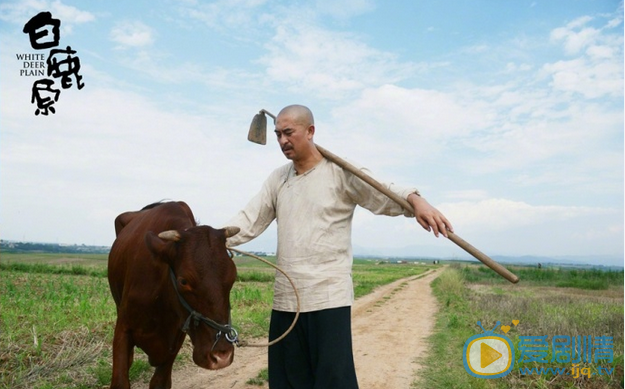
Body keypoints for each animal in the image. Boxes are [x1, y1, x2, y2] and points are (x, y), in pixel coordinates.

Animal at [107, 202, 239, 386]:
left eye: (233, 276)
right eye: (183, 281)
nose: (222, 356)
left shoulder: (174, 342)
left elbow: (160, 382)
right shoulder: (123, 328)